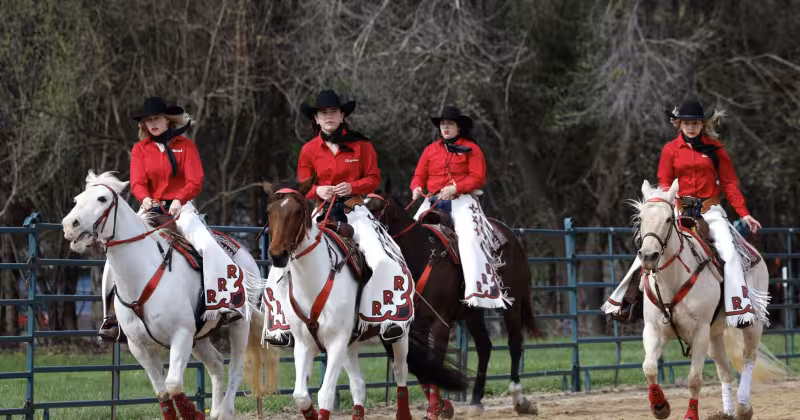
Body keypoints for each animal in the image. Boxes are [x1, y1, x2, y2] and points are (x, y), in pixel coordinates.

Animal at [61, 171, 277, 420]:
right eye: (77, 199)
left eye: (102, 199)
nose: (70, 225)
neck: (143, 274)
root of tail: (243, 253)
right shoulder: (139, 346)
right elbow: (162, 391)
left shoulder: (181, 335)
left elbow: (173, 384)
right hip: (199, 337)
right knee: (215, 364)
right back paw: (215, 411)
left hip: (239, 324)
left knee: (236, 367)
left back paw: (225, 411)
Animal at [266, 176, 467, 420]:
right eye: (269, 212)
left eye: (297, 212)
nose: (278, 256)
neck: (314, 281)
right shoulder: (304, 344)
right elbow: (301, 395)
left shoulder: (336, 342)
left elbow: (325, 394)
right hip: (352, 345)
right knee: (359, 385)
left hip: (399, 335)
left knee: (400, 371)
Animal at [364, 193, 539, 419]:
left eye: (373, 210)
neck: (422, 256)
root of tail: (511, 236)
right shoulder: (416, 327)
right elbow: (424, 367)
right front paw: (441, 407)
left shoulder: (440, 323)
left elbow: (436, 361)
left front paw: (435, 410)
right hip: (473, 314)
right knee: (485, 347)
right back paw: (476, 401)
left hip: (513, 304)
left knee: (515, 343)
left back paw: (520, 400)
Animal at [635, 179, 785, 420]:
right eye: (640, 218)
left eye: (668, 219)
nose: (648, 256)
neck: (673, 279)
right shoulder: (653, 329)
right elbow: (649, 367)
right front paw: (659, 406)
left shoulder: (700, 333)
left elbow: (694, 379)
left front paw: (690, 414)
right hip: (715, 336)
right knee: (725, 370)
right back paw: (727, 412)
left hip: (751, 325)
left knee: (748, 359)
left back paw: (743, 407)